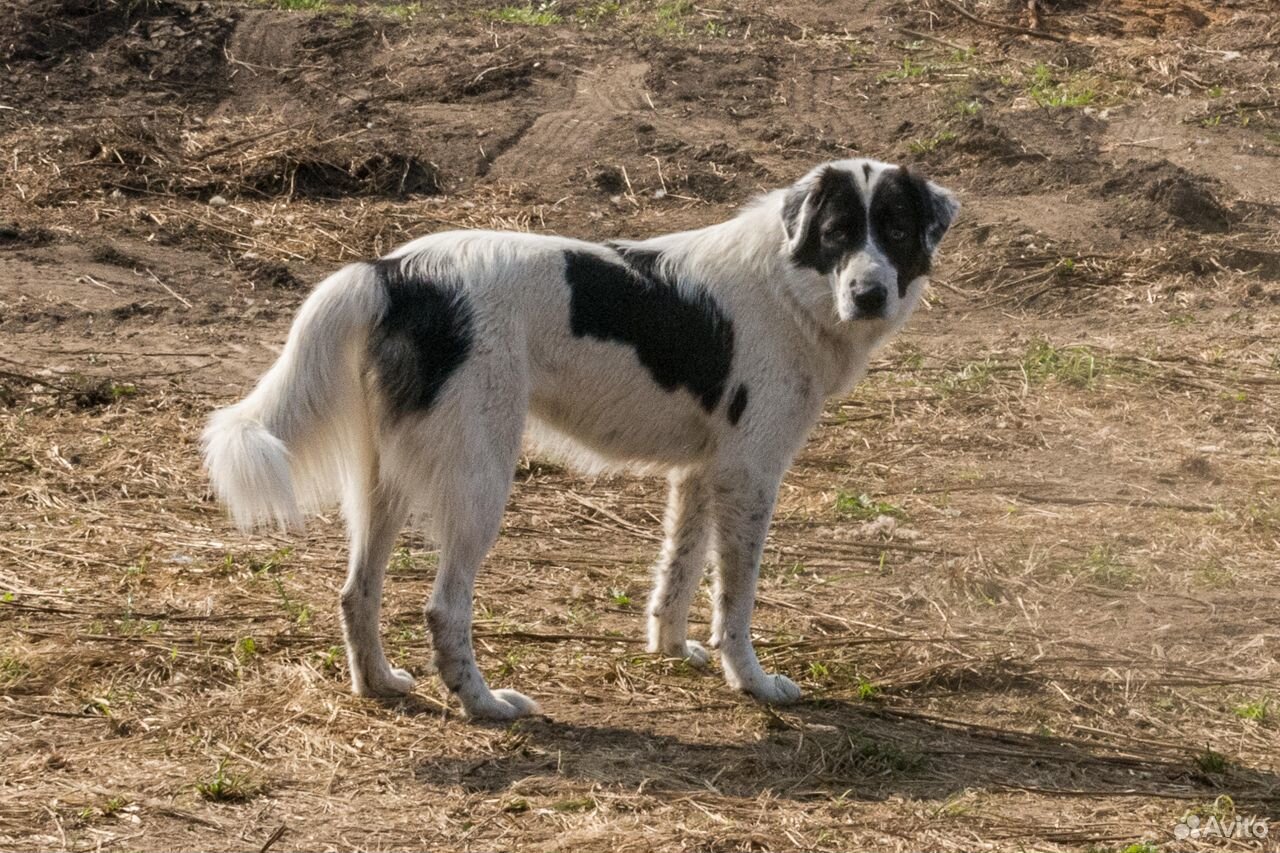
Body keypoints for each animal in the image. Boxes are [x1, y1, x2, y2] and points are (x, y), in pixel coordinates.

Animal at [202, 157, 962, 717]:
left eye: (896, 230)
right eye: (837, 233)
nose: (869, 294)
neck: (787, 281)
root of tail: (394, 272)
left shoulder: (702, 474)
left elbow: (679, 572)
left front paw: (671, 649)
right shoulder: (749, 475)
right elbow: (735, 599)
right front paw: (750, 681)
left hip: (384, 486)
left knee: (356, 592)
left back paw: (381, 685)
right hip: (481, 481)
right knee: (444, 608)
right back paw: (485, 705)